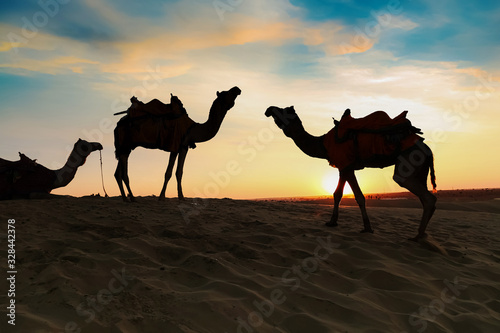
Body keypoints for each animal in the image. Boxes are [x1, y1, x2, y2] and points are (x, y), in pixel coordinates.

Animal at [114, 85, 242, 201]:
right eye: (226, 93)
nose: (237, 88)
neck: (192, 128)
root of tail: (118, 124)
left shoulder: (181, 147)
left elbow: (176, 172)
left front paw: (176, 196)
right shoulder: (177, 146)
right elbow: (172, 172)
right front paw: (167, 197)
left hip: (125, 147)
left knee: (117, 172)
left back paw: (125, 198)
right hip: (126, 144)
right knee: (123, 173)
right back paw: (132, 198)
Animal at [266, 105, 438, 240]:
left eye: (284, 110)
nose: (269, 109)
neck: (323, 144)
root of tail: (428, 150)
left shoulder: (347, 167)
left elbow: (359, 196)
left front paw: (367, 228)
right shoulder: (343, 167)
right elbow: (337, 194)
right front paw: (332, 222)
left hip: (408, 161)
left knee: (423, 195)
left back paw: (418, 236)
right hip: (420, 169)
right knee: (425, 197)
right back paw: (422, 235)